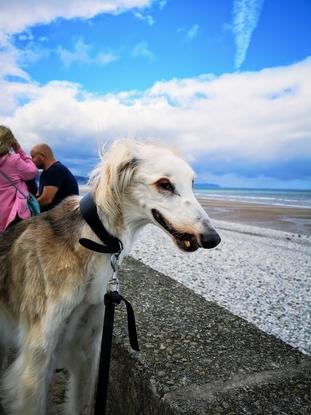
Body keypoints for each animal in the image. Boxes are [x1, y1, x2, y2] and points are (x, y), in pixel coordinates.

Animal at [0, 141, 222, 415]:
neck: (92, 240)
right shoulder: (37, 357)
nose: (212, 238)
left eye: (192, 183)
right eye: (164, 184)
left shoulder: (89, 342)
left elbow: (85, 402)